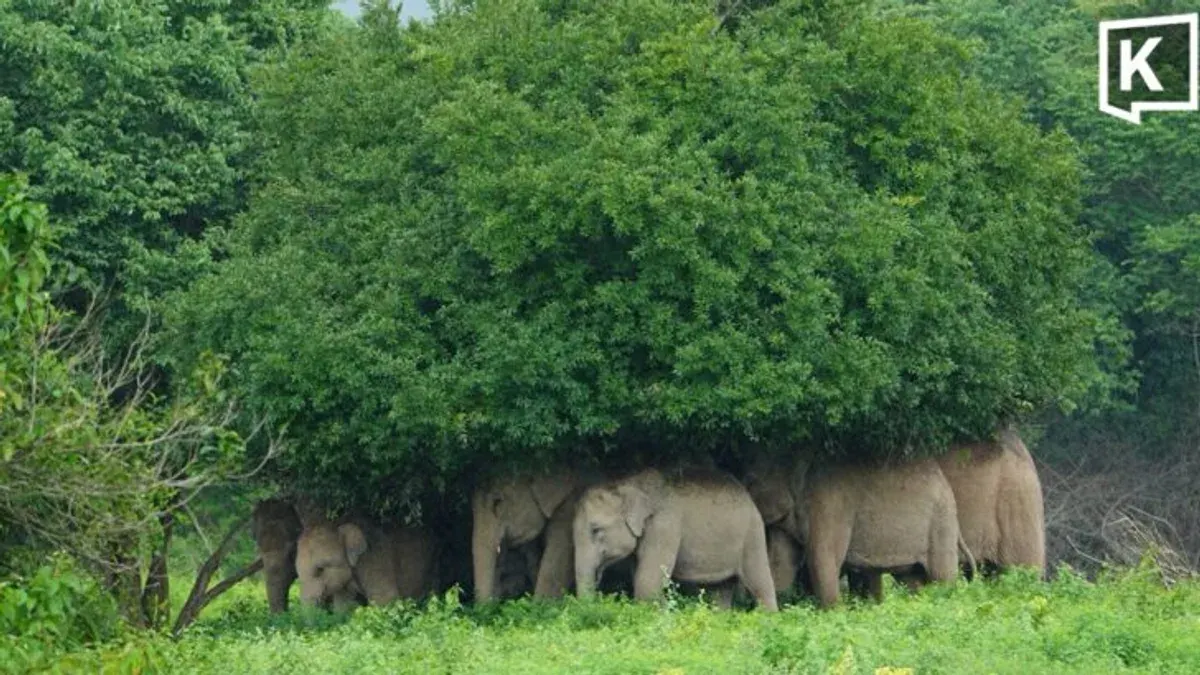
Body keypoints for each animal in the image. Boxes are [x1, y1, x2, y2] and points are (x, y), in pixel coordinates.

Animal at [572, 467, 778, 611]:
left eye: (595, 529)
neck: (628, 483)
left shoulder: (665, 526)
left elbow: (648, 582)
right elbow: (641, 577)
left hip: (752, 533)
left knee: (760, 583)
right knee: (720, 590)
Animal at [746, 455, 969, 608]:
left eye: (750, 480)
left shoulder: (830, 505)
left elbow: (822, 560)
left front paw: (832, 613)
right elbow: (782, 564)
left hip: (941, 522)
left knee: (942, 576)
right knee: (912, 579)